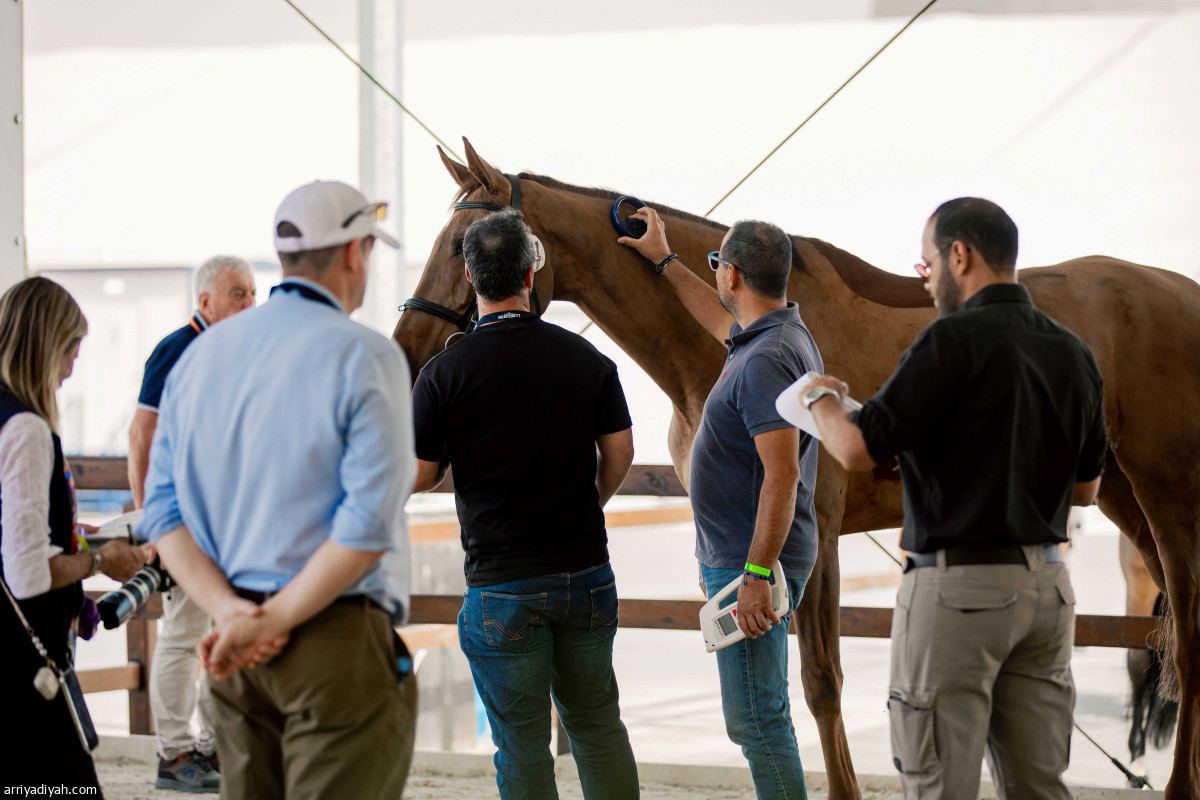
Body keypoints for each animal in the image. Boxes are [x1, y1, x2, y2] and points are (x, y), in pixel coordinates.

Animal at [396, 139, 1200, 800]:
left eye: (464, 246)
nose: (407, 351)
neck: (730, 341)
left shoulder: (811, 529)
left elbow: (821, 682)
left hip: (1168, 497)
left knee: (1188, 642)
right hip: (1122, 493)